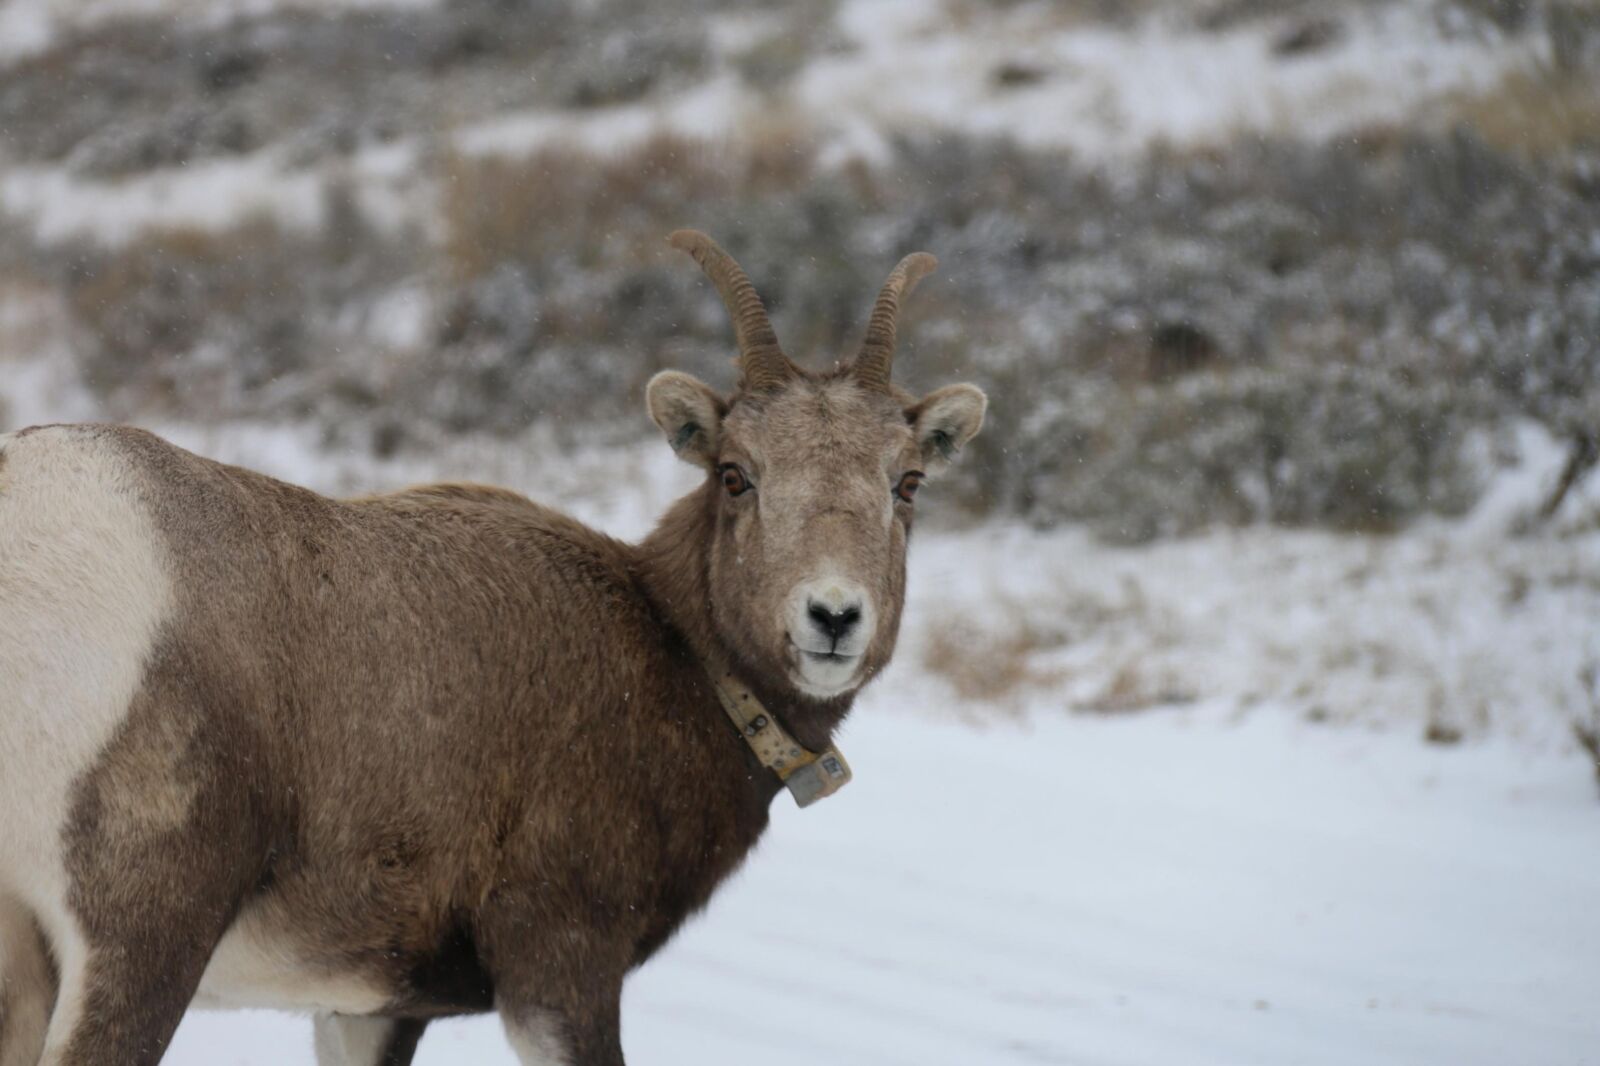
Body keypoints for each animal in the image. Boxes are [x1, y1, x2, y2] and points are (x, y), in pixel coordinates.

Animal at [0, 231, 987, 1066]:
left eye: (907, 482)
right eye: (737, 475)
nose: (832, 617)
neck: (671, 656)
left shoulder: (369, 1008)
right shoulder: (562, 973)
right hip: (141, 944)